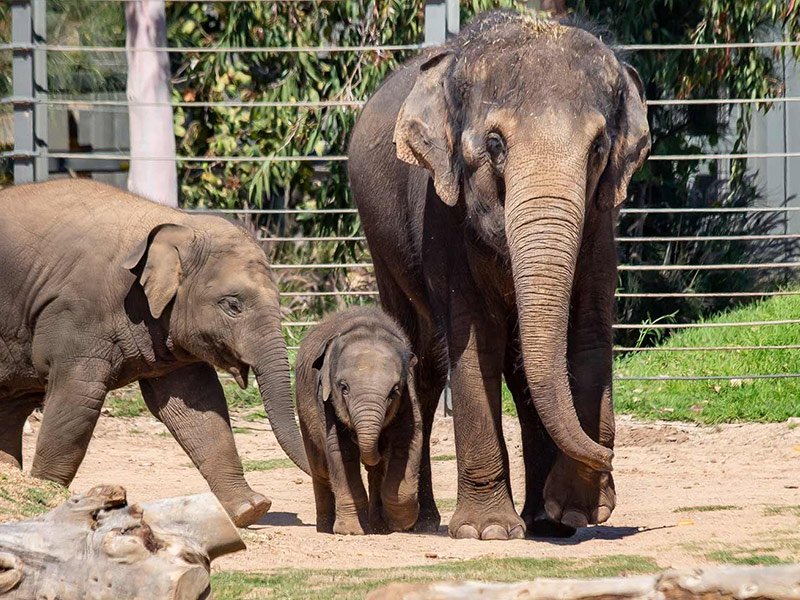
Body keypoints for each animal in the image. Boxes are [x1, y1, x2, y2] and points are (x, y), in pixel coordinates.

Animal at [0, 179, 309, 527]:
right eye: (233, 305)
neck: (177, 222)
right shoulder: (78, 315)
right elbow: (76, 401)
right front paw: (51, 499)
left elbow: (198, 405)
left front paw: (250, 509)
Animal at [295, 307, 422, 535]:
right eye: (343, 387)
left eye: (394, 391)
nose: (379, 446)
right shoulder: (325, 400)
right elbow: (341, 452)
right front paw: (351, 531)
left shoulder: (409, 394)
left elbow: (407, 441)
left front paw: (400, 523)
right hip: (302, 408)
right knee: (320, 469)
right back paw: (325, 529)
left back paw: (378, 526)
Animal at [348, 11, 650, 539]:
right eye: (494, 144)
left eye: (598, 148)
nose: (611, 460)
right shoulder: (443, 215)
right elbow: (475, 343)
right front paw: (485, 531)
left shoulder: (599, 226)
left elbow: (588, 334)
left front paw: (574, 512)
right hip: (382, 246)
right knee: (421, 360)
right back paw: (413, 522)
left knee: (511, 370)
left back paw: (541, 521)